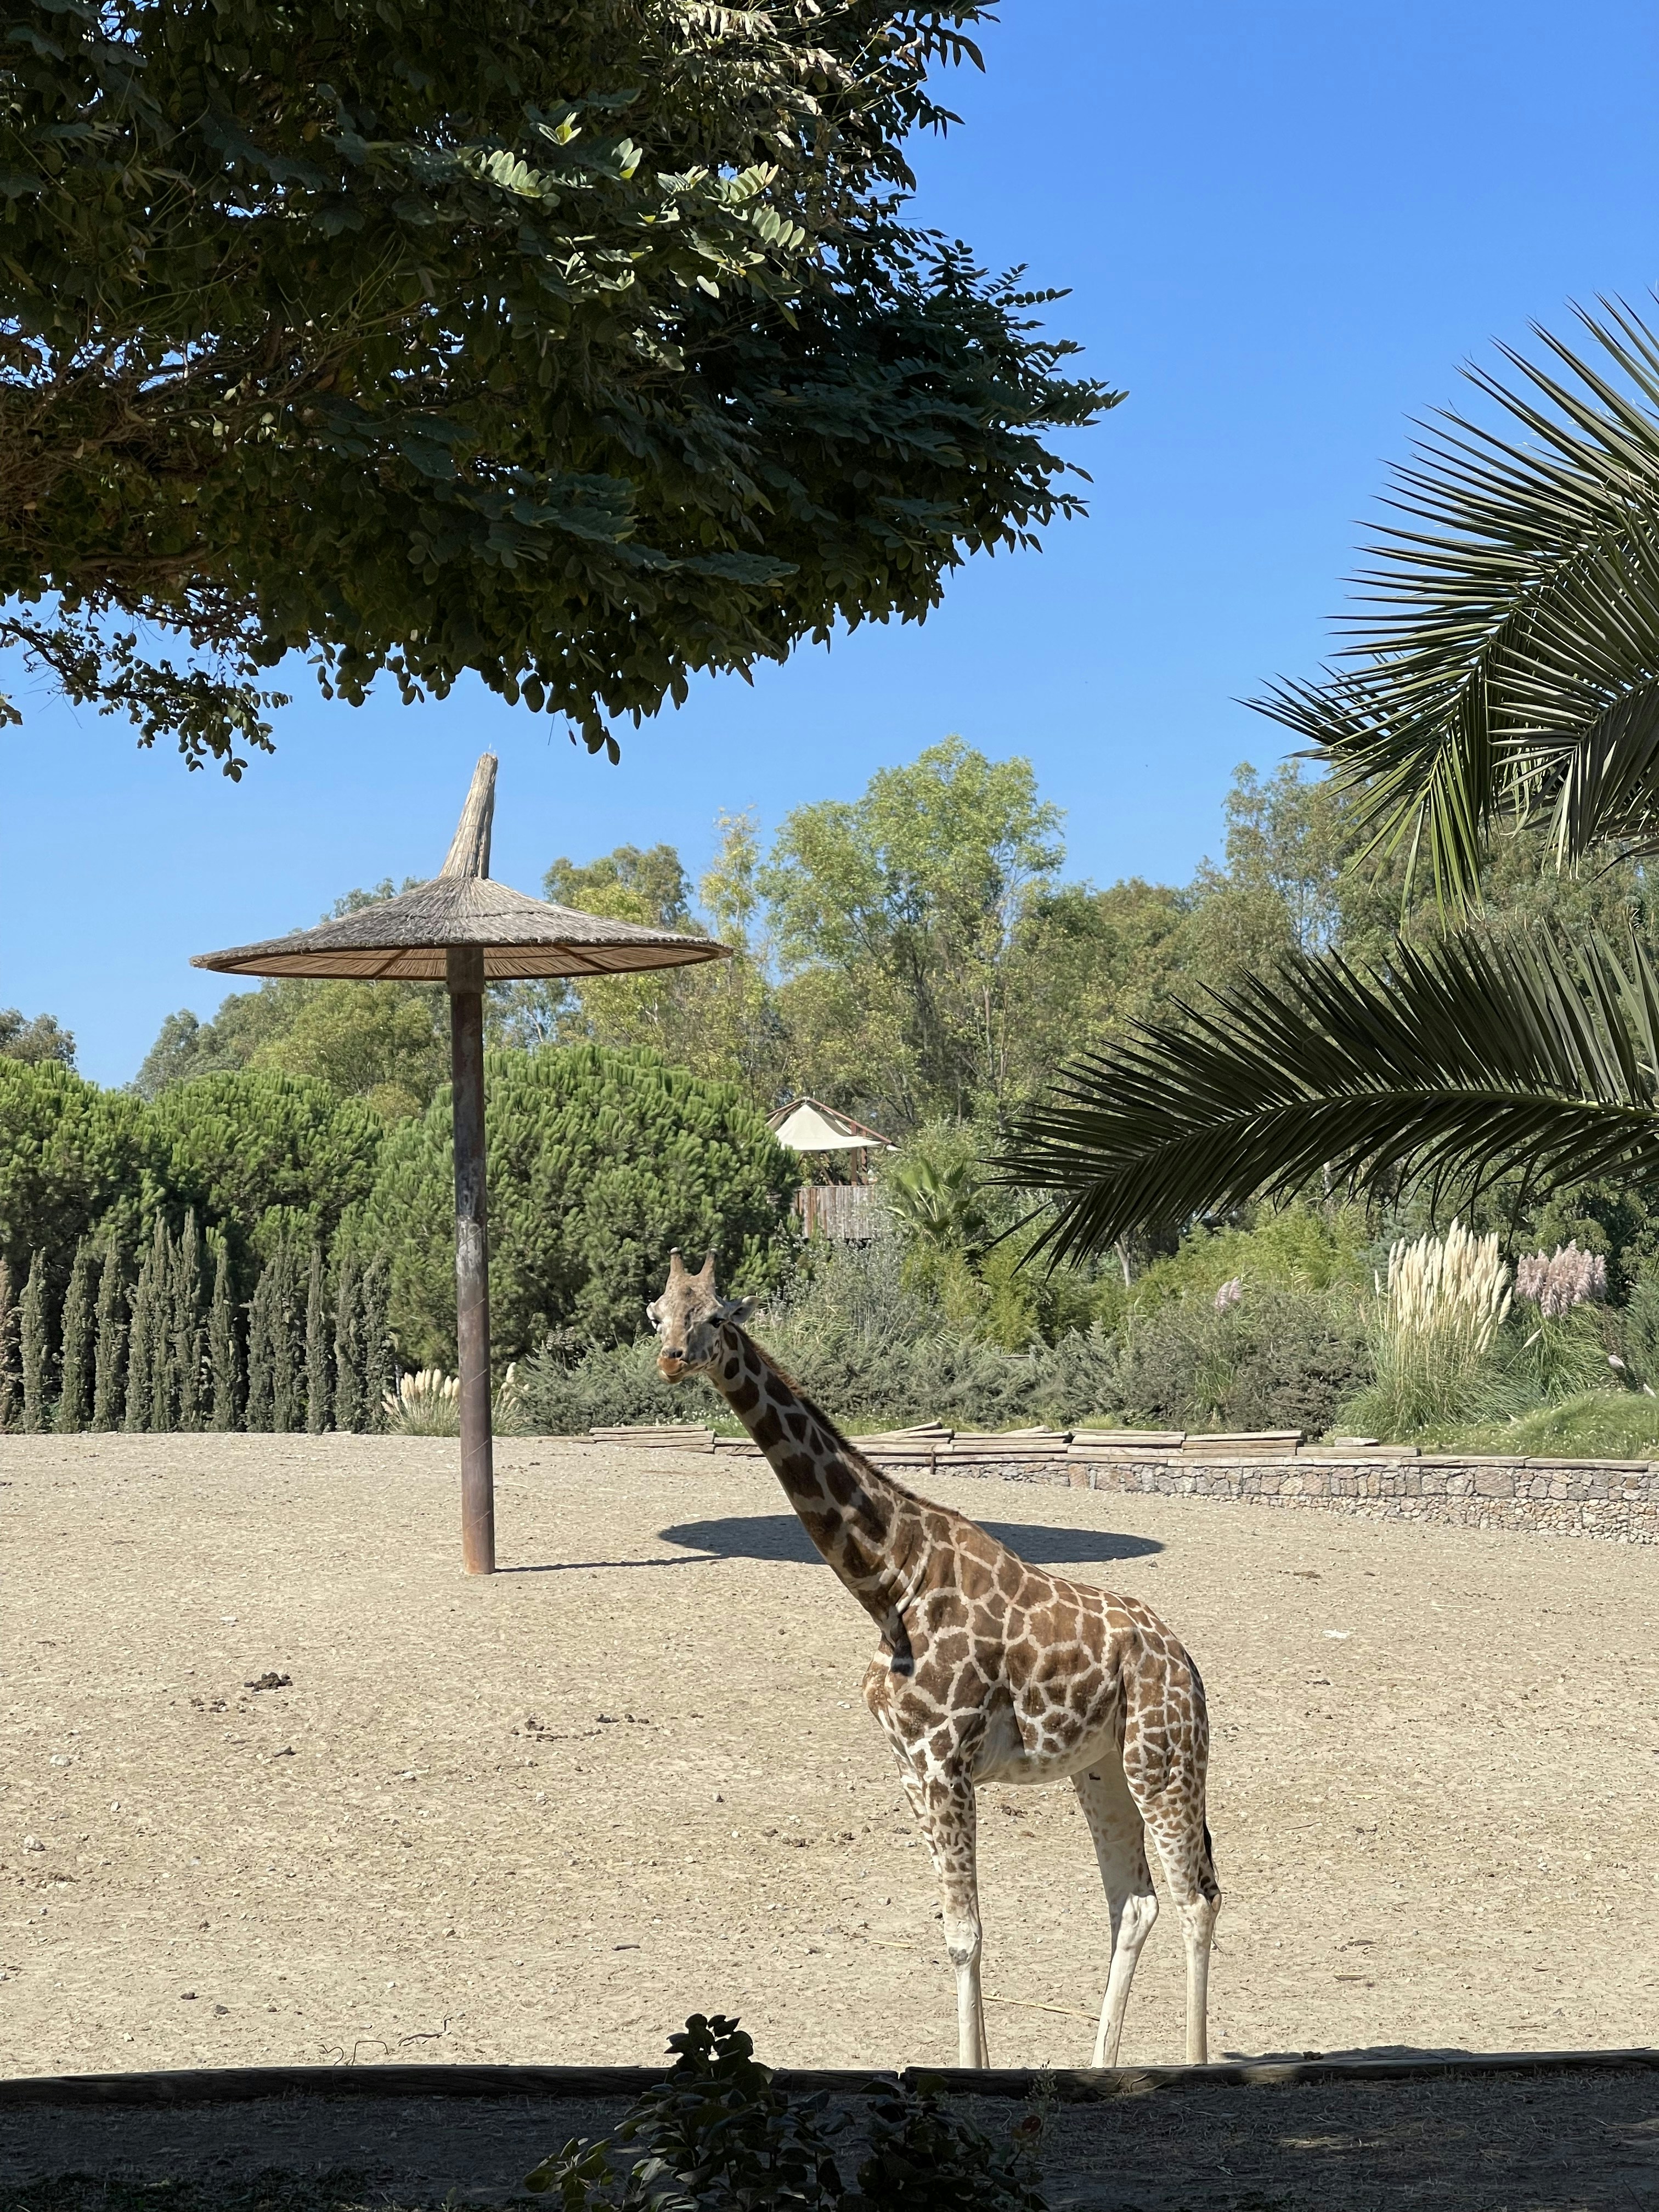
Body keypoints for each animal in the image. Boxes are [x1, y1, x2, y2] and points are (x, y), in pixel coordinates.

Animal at [648, 1250, 1220, 2070]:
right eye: (657, 1313)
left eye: (719, 1315)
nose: (671, 1359)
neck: (891, 1578)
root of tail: (1186, 1662)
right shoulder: (908, 1764)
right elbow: (954, 1932)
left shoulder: (945, 1761)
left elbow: (966, 1935)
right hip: (1100, 1767)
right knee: (1134, 1902)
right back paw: (1101, 2066)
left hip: (1162, 1759)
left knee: (1195, 1896)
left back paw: (1194, 2063)